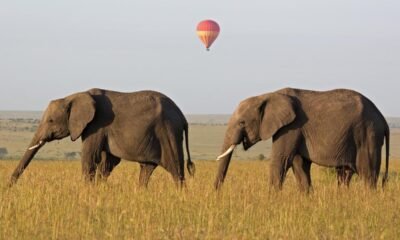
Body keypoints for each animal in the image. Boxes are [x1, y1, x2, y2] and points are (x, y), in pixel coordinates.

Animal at [9, 88, 195, 188]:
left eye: (51, 121)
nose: (8, 187)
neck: (75, 95)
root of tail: (182, 116)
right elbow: (108, 162)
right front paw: (99, 190)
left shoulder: (96, 125)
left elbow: (90, 157)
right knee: (147, 169)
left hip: (168, 132)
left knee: (176, 170)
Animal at [214, 87, 390, 192]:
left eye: (242, 123)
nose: (217, 193)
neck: (268, 95)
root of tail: (383, 119)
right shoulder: (297, 131)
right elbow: (299, 165)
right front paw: (307, 197)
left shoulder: (291, 127)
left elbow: (281, 160)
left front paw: (271, 201)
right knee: (345, 174)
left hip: (367, 135)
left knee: (368, 175)